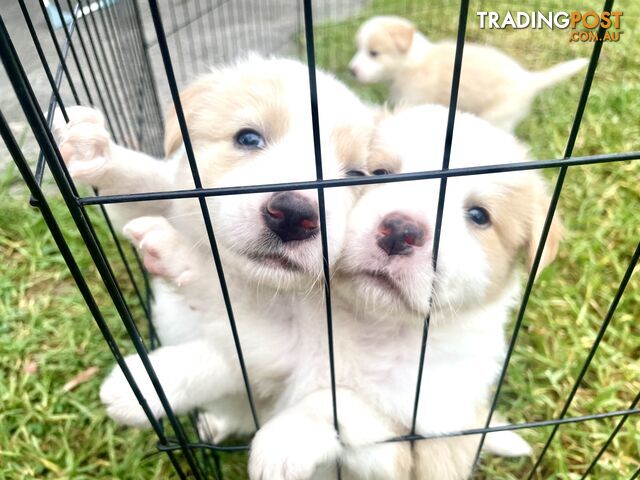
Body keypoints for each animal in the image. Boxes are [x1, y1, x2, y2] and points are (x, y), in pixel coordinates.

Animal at [53, 54, 376, 436]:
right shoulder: (164, 201)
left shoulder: (284, 356)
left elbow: (225, 352)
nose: (294, 216)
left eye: (356, 176)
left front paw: (142, 388)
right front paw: (95, 150)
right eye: (248, 138)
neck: (256, 285)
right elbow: (149, 185)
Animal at [248, 103, 564, 478]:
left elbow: (344, 402)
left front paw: (283, 442)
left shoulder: (418, 454)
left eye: (478, 216)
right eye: (380, 173)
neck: (374, 328)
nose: (399, 231)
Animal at [348, 15, 588, 131]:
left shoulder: (413, 99)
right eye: (357, 48)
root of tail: (527, 78)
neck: (411, 61)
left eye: (374, 53)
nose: (351, 70)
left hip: (496, 117)